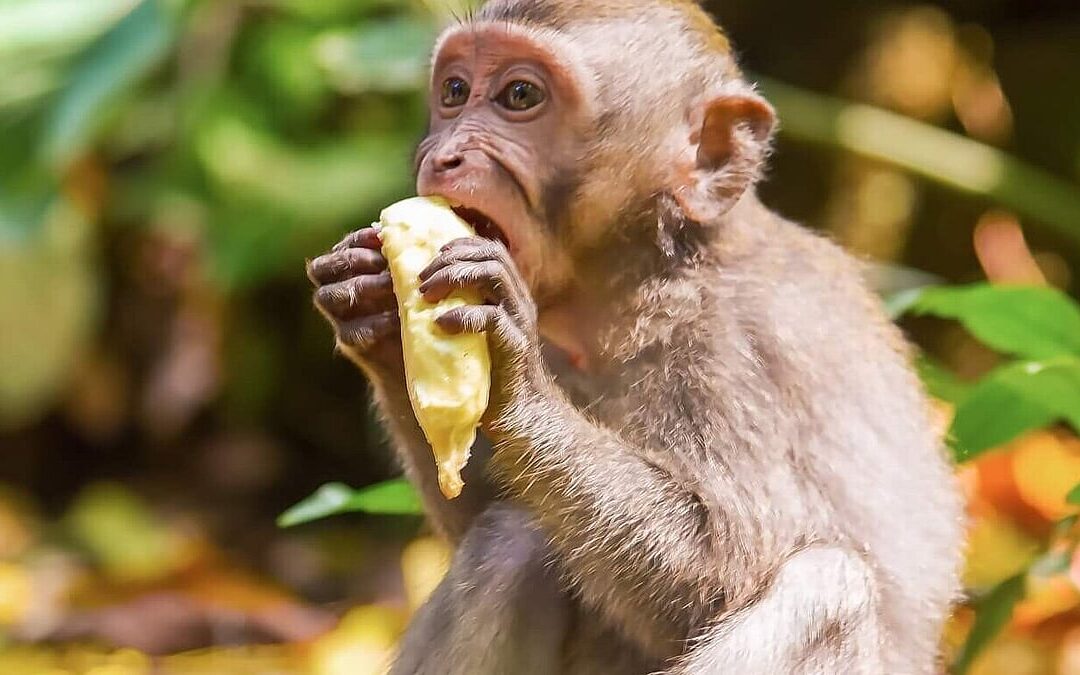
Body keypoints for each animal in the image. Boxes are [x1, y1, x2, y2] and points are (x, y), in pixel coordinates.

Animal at [306, 1, 965, 673]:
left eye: (520, 96)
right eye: (455, 92)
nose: (444, 155)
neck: (644, 284)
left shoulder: (733, 355)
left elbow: (728, 569)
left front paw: (517, 381)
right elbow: (469, 498)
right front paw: (373, 317)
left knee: (828, 589)